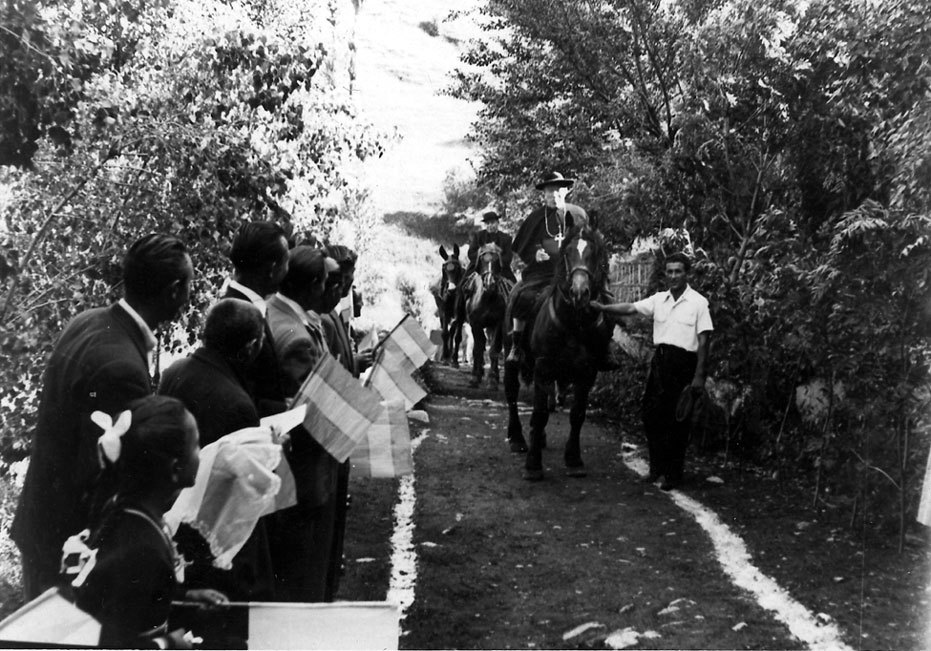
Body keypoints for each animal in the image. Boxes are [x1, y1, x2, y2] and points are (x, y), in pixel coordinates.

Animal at [464, 243, 516, 388]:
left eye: (497, 261)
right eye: (482, 259)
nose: (489, 283)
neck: (487, 297)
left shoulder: (498, 323)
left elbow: (494, 349)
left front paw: (492, 379)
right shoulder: (475, 324)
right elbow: (477, 349)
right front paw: (474, 377)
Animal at [506, 227, 616, 482]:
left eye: (594, 253)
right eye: (567, 253)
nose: (579, 292)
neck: (574, 323)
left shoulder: (588, 372)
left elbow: (577, 414)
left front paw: (574, 460)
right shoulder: (543, 367)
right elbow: (539, 413)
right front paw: (533, 465)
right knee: (512, 392)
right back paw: (517, 438)